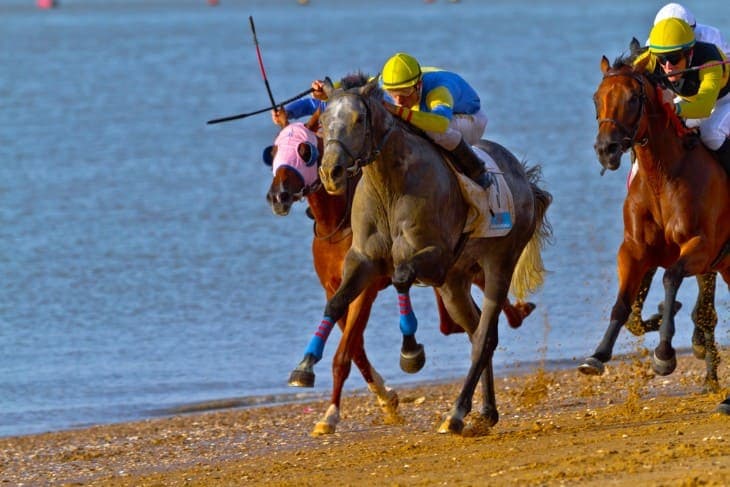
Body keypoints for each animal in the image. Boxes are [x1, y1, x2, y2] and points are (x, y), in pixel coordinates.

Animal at [292, 77, 552, 435]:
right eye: (324, 121)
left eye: (359, 119)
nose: (332, 171)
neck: (389, 185)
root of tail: (523, 177)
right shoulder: (363, 261)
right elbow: (335, 303)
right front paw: (304, 367)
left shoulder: (435, 259)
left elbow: (402, 277)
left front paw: (410, 351)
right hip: (455, 283)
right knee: (477, 334)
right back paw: (485, 412)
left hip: (499, 262)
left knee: (484, 337)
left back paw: (456, 413)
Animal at [578, 53, 730, 393]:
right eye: (596, 98)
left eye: (633, 99)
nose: (605, 149)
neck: (662, 179)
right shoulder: (635, 250)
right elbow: (625, 307)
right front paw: (597, 355)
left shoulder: (701, 246)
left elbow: (671, 278)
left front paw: (664, 353)